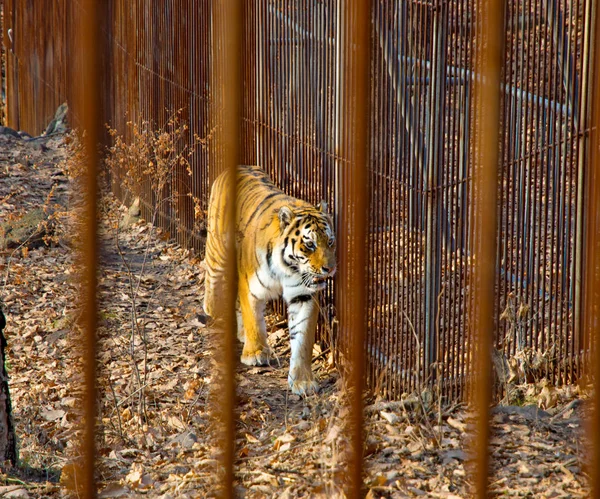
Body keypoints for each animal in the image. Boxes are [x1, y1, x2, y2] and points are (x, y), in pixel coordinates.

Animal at [203, 166, 336, 396]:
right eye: (310, 244)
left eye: (330, 242)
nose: (330, 269)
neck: (287, 268)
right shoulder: (249, 286)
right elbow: (254, 319)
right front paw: (255, 353)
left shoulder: (303, 295)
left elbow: (302, 340)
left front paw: (303, 381)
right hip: (218, 251)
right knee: (211, 278)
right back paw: (213, 311)